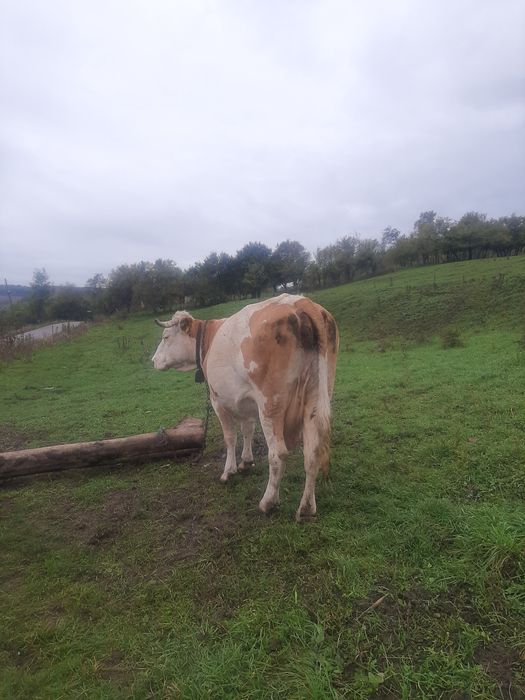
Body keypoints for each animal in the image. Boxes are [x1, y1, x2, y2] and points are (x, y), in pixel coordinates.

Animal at [152, 294, 339, 521]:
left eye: (165, 337)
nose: (153, 360)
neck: (209, 338)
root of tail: (301, 303)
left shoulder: (217, 401)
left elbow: (230, 437)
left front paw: (229, 470)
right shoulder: (246, 401)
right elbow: (247, 429)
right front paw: (246, 461)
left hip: (270, 405)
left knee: (278, 454)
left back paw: (268, 502)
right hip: (316, 397)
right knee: (312, 452)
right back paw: (307, 507)